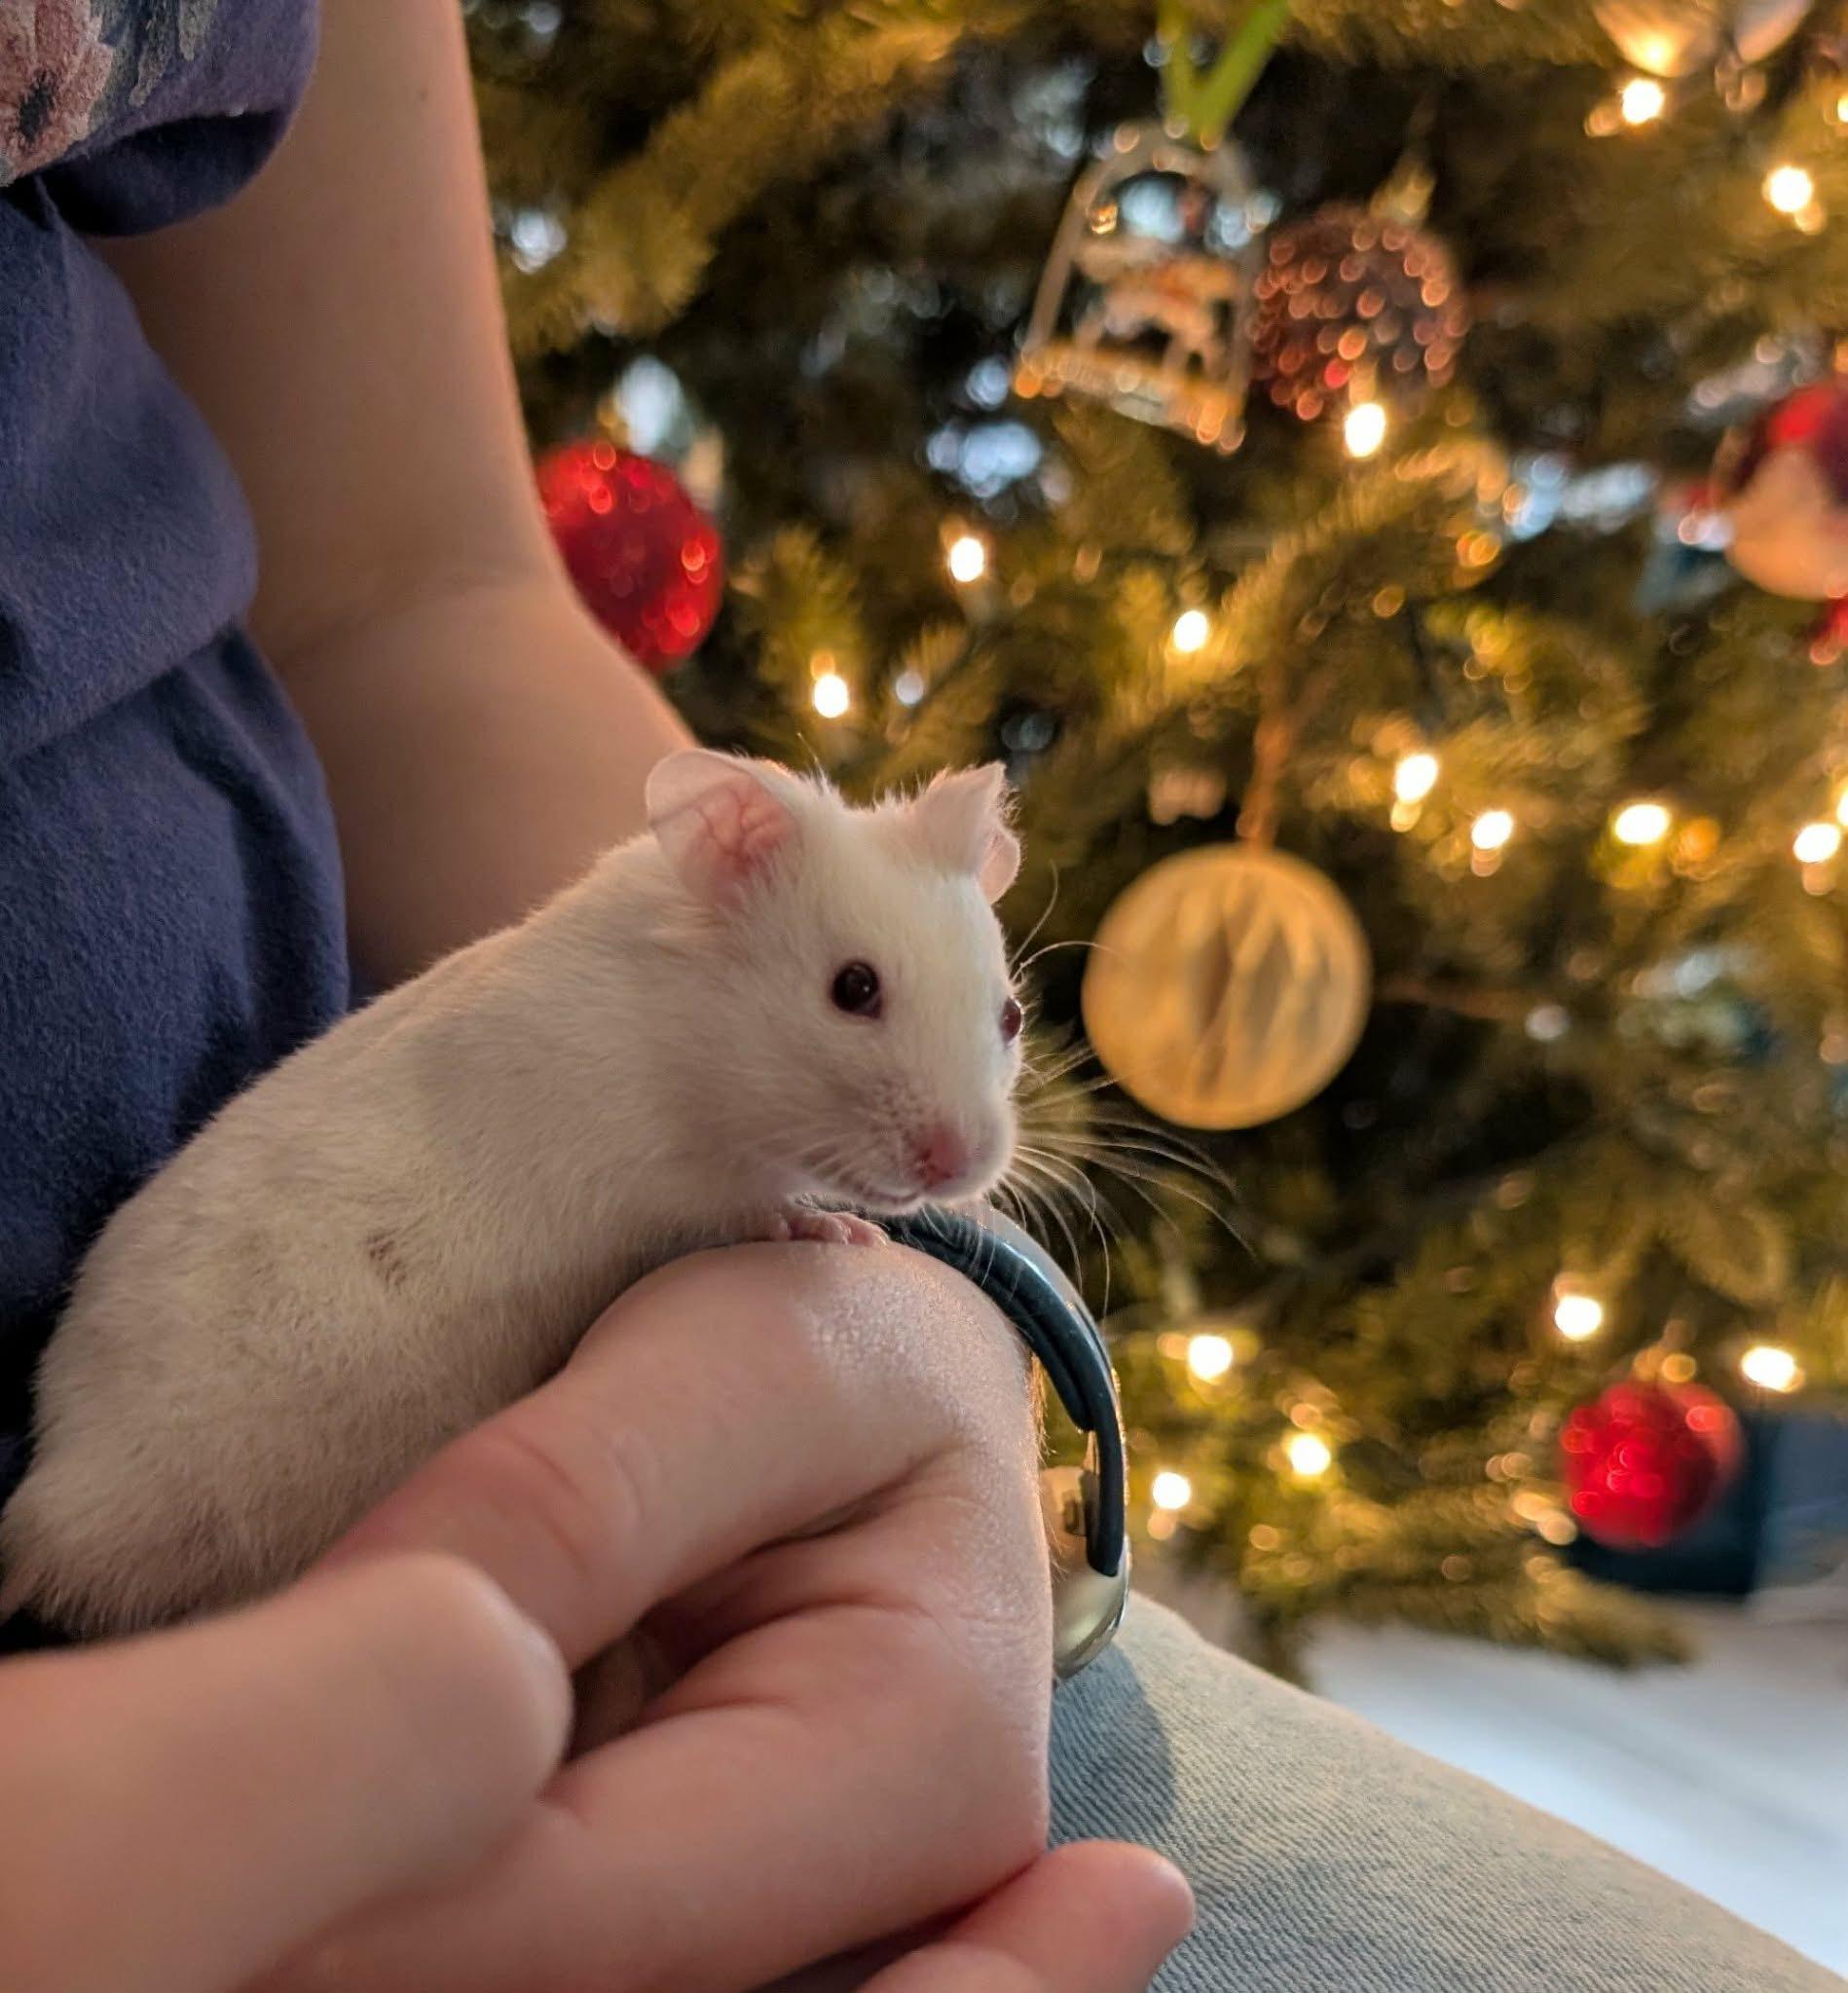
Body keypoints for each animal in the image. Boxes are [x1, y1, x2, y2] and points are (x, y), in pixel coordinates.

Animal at [0, 750, 1025, 1637]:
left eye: (1012, 1014)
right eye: (854, 988)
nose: (961, 1163)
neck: (692, 1036)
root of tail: (52, 1502)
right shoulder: (665, 1189)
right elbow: (756, 1210)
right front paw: (843, 1231)